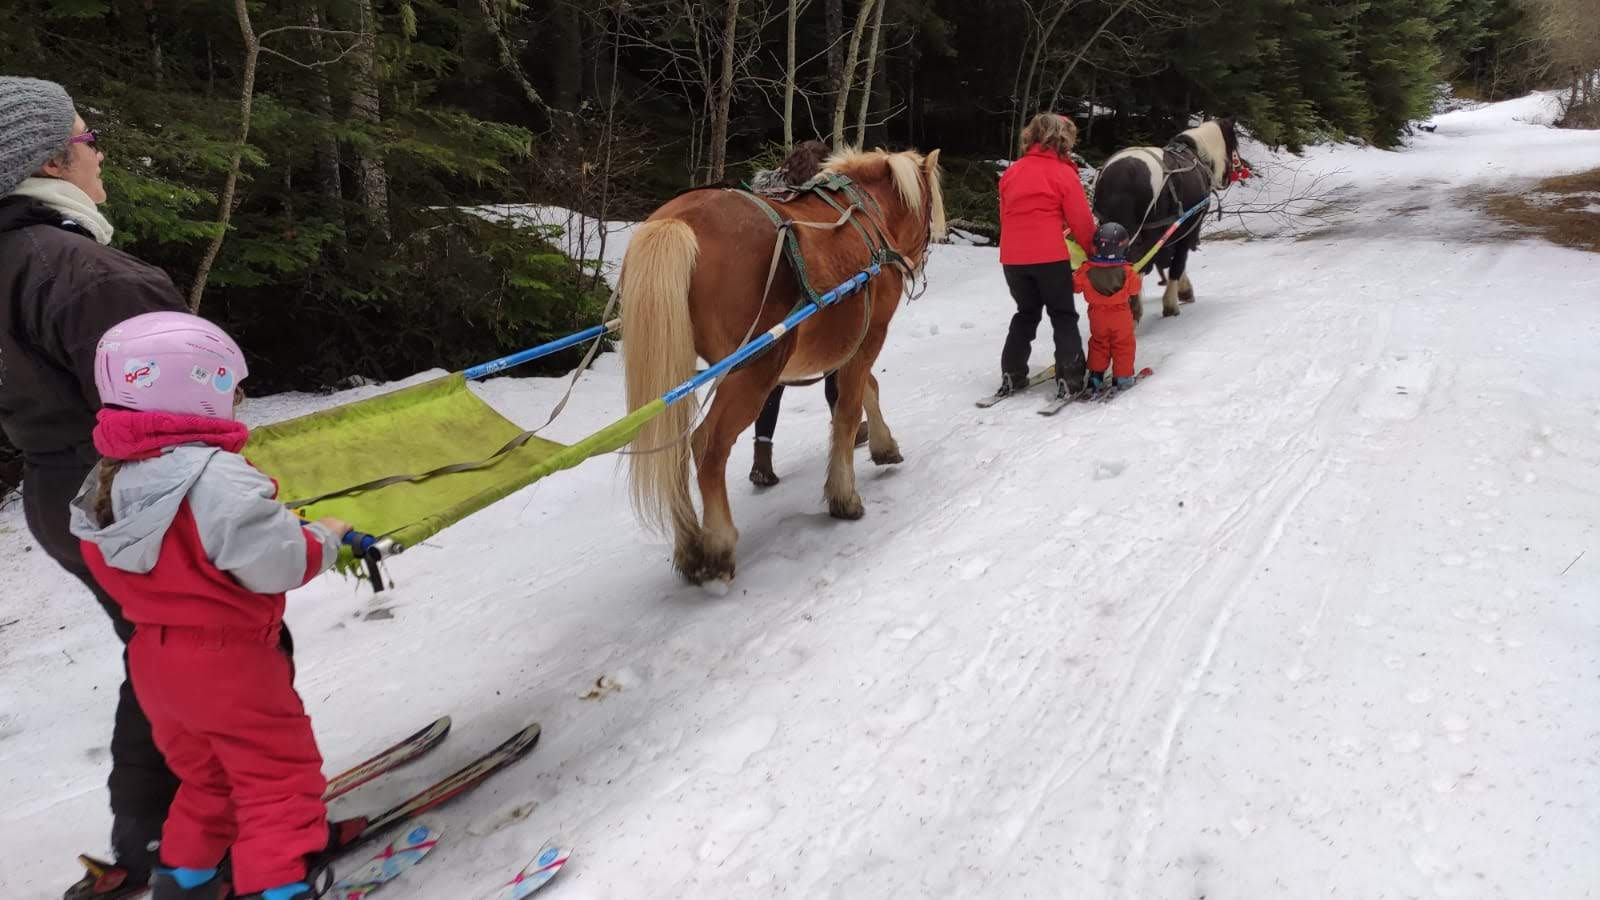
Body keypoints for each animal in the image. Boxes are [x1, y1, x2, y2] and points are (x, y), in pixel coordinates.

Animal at [618, 147, 946, 584]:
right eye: (929, 206)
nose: (920, 260)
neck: (869, 215)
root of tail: (677, 222)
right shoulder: (869, 335)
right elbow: (848, 409)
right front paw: (845, 495)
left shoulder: (851, 344)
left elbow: (868, 390)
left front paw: (884, 446)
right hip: (755, 368)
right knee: (707, 444)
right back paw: (717, 544)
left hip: (683, 368)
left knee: (673, 449)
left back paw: (689, 546)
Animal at [1091, 117, 1248, 320]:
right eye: (1234, 146)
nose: (1240, 168)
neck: (1198, 157)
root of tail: (1120, 175)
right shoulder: (1187, 227)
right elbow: (1177, 263)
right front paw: (1174, 301)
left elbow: (1166, 261)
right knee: (1137, 265)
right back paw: (1134, 310)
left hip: (1111, 227)